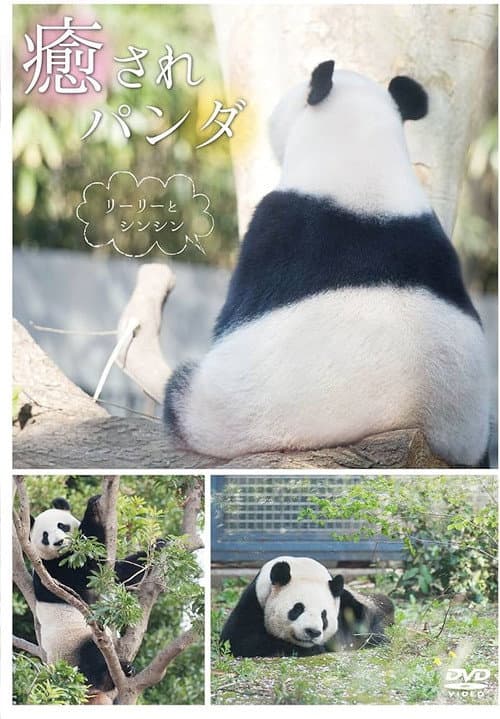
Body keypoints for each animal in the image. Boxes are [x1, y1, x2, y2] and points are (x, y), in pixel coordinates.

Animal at [30, 495, 160, 704]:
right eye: (45, 536)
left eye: (62, 525)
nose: (58, 542)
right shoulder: (53, 572)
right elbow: (91, 569)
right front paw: (94, 507)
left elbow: (116, 573)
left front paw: (159, 545)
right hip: (73, 648)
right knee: (92, 654)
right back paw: (114, 673)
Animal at [164, 60, 490, 468]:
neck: (361, 155)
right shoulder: (433, 240)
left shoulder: (276, 228)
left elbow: (233, 314)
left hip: (234, 413)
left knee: (180, 391)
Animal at [219, 556, 394, 658]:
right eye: (297, 609)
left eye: (324, 616)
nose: (312, 632)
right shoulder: (255, 601)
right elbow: (240, 639)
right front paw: (314, 649)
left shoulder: (344, 601)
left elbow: (368, 631)